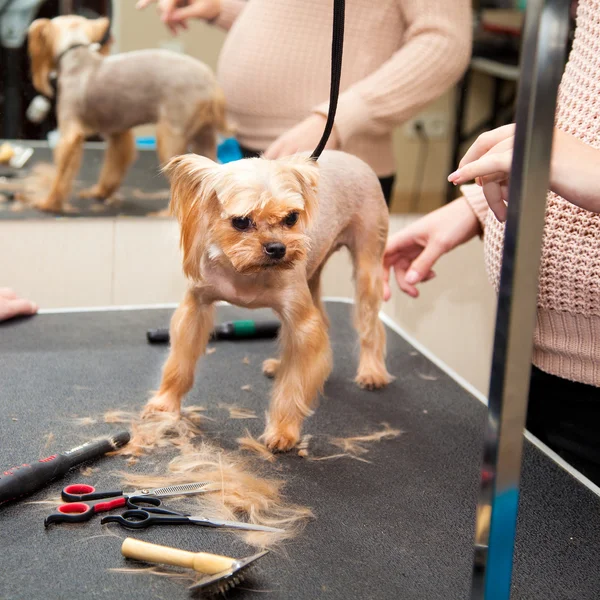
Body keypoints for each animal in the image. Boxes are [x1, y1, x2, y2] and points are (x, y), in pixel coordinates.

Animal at [145, 150, 394, 450]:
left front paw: (283, 430)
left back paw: (372, 371)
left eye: (291, 218)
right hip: (313, 272)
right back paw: (281, 365)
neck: (244, 271)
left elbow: (294, 383)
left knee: (369, 321)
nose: (277, 248)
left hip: (368, 260)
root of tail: (353, 158)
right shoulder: (196, 306)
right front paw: (165, 403)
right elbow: (179, 361)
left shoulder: (303, 325)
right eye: (241, 221)